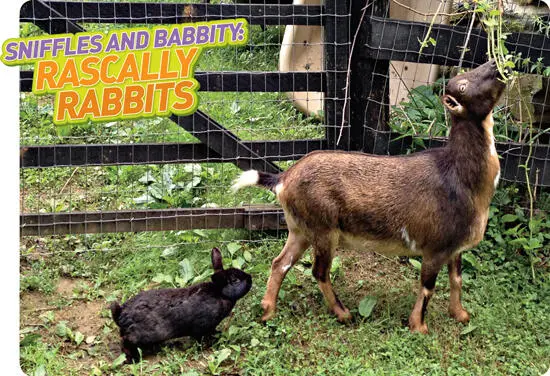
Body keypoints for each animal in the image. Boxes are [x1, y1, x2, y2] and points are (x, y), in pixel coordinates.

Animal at [112, 247, 254, 362]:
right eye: (235, 280)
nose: (250, 278)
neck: (220, 293)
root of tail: (120, 314)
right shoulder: (201, 327)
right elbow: (200, 338)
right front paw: (207, 345)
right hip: (139, 337)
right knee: (126, 344)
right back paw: (131, 359)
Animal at [233, 60, 508, 334]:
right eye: (463, 84)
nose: (496, 65)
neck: (460, 177)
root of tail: (283, 179)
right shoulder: (435, 246)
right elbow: (428, 287)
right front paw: (419, 327)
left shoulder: (455, 247)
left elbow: (456, 279)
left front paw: (460, 315)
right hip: (323, 229)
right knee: (319, 271)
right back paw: (343, 313)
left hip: (300, 228)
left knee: (280, 262)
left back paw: (268, 311)